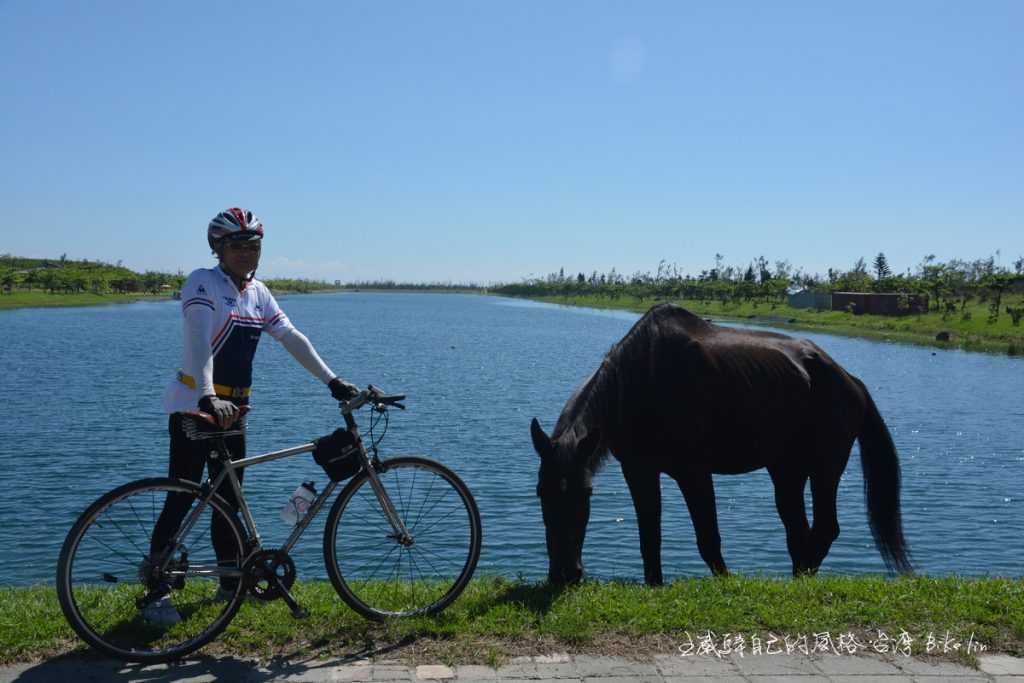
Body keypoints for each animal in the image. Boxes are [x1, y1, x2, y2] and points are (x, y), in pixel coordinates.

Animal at [532, 305, 909, 589]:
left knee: (825, 529)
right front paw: (654, 584)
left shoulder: (694, 472)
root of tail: (851, 381)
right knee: (798, 531)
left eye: (585, 494)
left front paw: (726, 582)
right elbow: (649, 536)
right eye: (541, 493)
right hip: (787, 470)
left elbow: (708, 538)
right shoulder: (639, 470)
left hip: (825, 466)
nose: (564, 575)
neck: (642, 379)